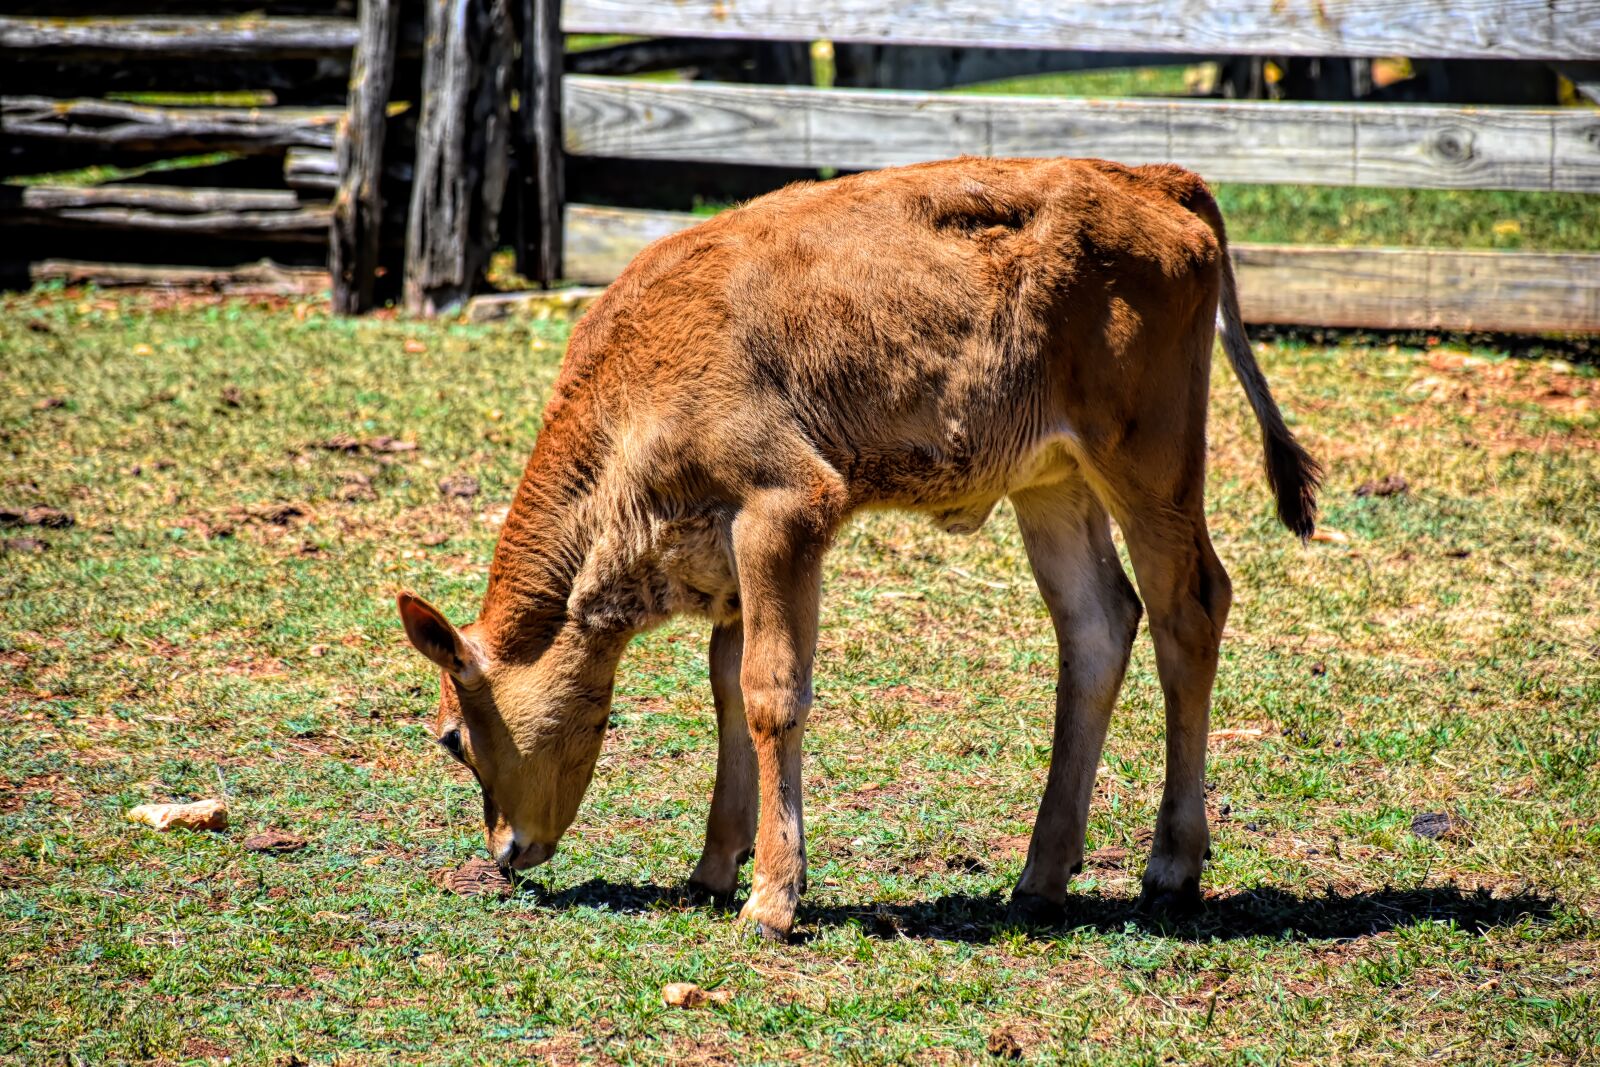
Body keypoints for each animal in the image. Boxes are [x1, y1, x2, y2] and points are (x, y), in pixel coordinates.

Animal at [397, 156, 1321, 939]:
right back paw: (1039, 878)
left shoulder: (784, 510)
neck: (634, 382)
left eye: (452, 737)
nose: (506, 850)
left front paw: (771, 900)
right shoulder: (731, 562)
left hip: (1149, 465)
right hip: (1052, 482)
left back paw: (1170, 866)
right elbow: (727, 687)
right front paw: (714, 867)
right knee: (1099, 625)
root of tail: (1157, 179)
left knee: (1188, 609)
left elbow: (771, 692)